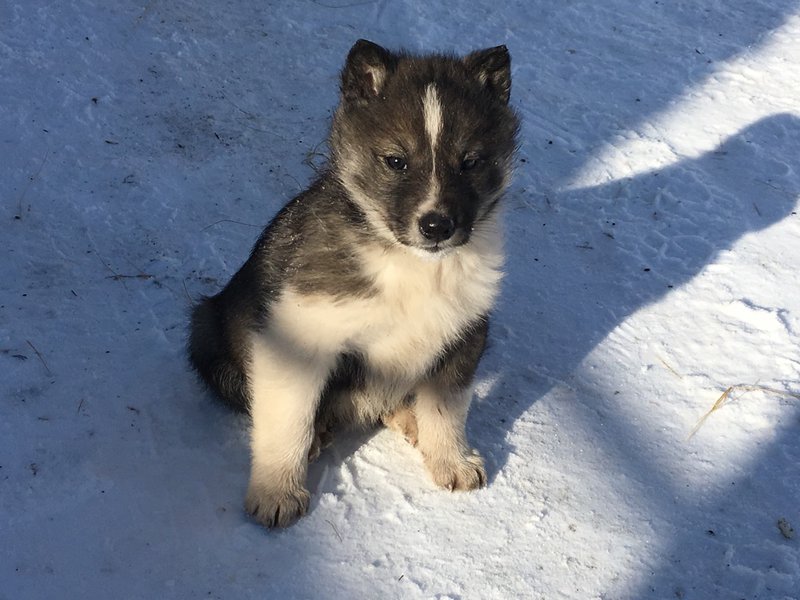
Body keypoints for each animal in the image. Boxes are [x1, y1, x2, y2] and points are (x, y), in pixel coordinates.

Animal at [188, 39, 520, 528]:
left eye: (471, 162)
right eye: (396, 161)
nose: (437, 226)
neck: (408, 263)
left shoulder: (464, 333)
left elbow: (447, 408)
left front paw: (452, 461)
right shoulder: (299, 332)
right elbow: (287, 419)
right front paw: (276, 492)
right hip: (207, 333)